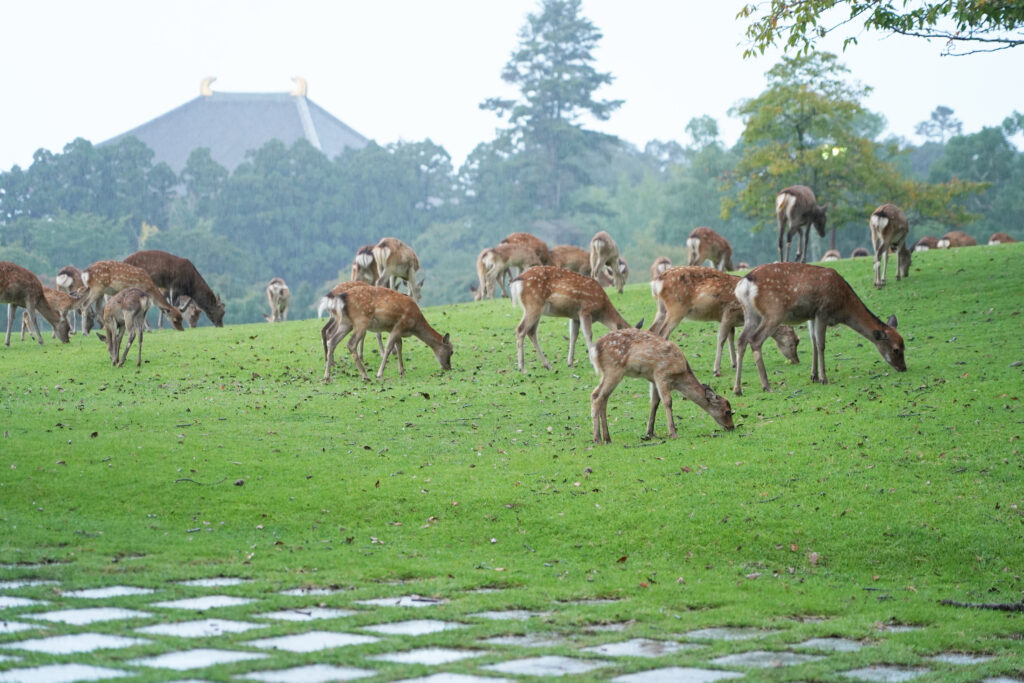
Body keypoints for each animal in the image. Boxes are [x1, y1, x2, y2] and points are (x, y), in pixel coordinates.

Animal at [318, 284, 452, 381]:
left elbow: (399, 346)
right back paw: (365, 376)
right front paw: (379, 374)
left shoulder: (393, 329)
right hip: (361, 321)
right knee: (350, 344)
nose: (449, 367)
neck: (414, 325)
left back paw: (327, 376)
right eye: (451, 351)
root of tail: (340, 298)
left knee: (333, 340)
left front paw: (402, 372)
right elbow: (389, 348)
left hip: (346, 323)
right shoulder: (399, 325)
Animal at [510, 265, 638, 373]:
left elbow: (573, 336)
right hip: (533, 305)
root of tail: (518, 280)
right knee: (521, 329)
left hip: (536, 309)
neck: (602, 309)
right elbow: (588, 335)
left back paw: (548, 365)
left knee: (531, 332)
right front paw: (593, 363)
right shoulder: (585, 310)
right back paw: (522, 368)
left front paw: (570, 363)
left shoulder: (575, 317)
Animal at [589, 328, 735, 443]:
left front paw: (650, 433)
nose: (732, 427)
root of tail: (595, 349)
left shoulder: (653, 379)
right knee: (596, 395)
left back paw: (607, 438)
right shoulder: (662, 375)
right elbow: (667, 402)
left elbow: (654, 403)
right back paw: (597, 439)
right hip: (614, 369)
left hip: (608, 372)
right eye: (727, 411)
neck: (679, 375)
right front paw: (673, 433)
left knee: (603, 398)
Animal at [648, 266, 800, 377]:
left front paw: (734, 364)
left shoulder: (730, 319)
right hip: (676, 308)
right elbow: (721, 338)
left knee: (652, 330)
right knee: (663, 333)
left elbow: (730, 338)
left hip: (661, 309)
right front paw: (716, 370)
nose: (796, 360)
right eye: (795, 341)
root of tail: (656, 283)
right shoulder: (729, 311)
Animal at [732, 262, 906, 396]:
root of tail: (744, 285)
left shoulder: (812, 315)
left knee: (741, 340)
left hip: (751, 314)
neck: (843, 305)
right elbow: (821, 345)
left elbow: (814, 343)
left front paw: (814, 376)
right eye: (896, 349)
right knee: (755, 340)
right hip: (774, 312)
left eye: (904, 346)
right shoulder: (823, 311)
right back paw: (766, 385)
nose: (903, 368)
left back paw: (737, 389)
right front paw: (824, 378)